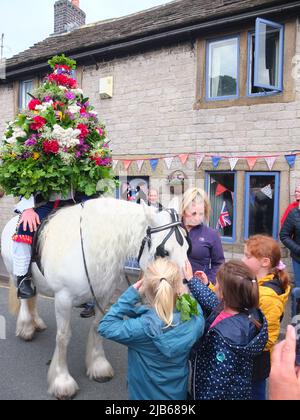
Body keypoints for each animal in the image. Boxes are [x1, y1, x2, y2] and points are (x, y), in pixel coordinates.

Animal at [1, 198, 189, 400]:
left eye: (187, 247)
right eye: (164, 252)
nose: (183, 290)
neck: (89, 246)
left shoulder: (104, 295)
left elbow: (97, 327)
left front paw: (98, 365)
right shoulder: (63, 299)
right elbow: (63, 337)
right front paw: (62, 381)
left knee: (33, 297)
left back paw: (36, 322)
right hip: (14, 275)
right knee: (25, 297)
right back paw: (26, 327)